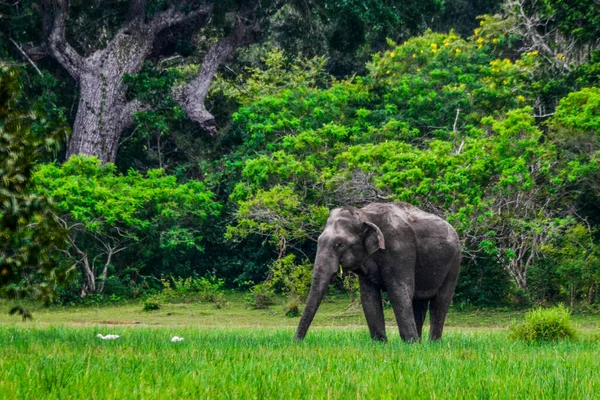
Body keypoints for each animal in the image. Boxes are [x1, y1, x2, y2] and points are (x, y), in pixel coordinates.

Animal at [294, 202, 460, 342]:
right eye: (319, 240)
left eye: (340, 244)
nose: (296, 342)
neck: (365, 215)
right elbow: (368, 296)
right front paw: (380, 343)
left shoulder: (401, 250)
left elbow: (399, 291)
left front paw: (409, 344)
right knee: (419, 303)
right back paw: (420, 342)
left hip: (454, 262)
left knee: (441, 301)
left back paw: (432, 343)